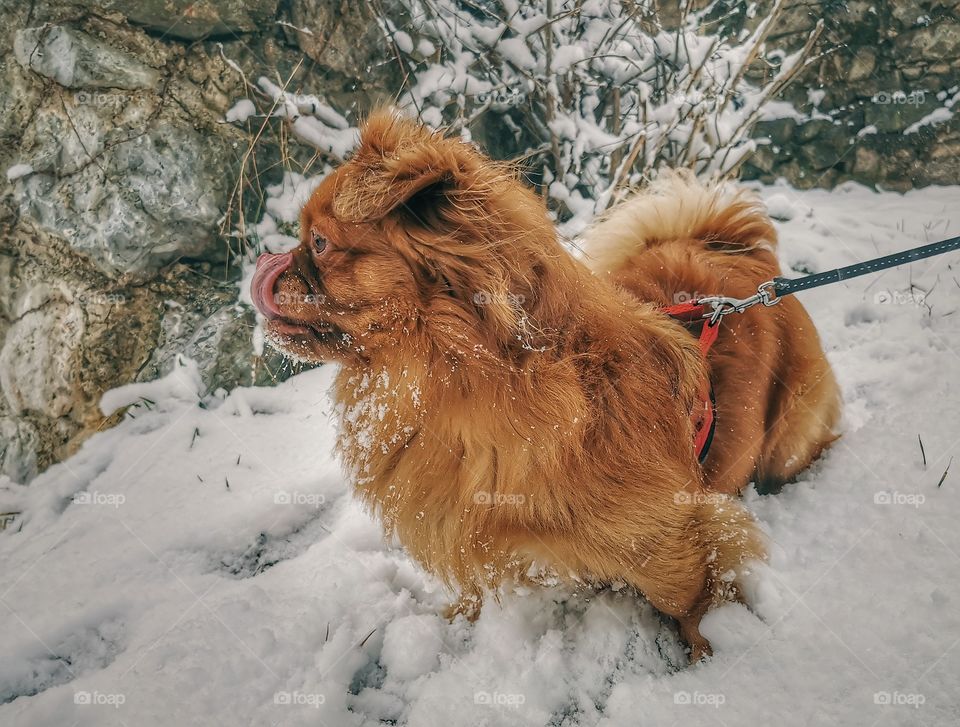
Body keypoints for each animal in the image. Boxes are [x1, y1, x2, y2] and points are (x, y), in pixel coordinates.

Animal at [249, 111, 840, 664]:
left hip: (790, 438)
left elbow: (690, 596)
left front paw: (709, 660)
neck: (455, 386)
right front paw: (458, 622)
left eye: (320, 243)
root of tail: (743, 256)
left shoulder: (671, 532)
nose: (264, 261)